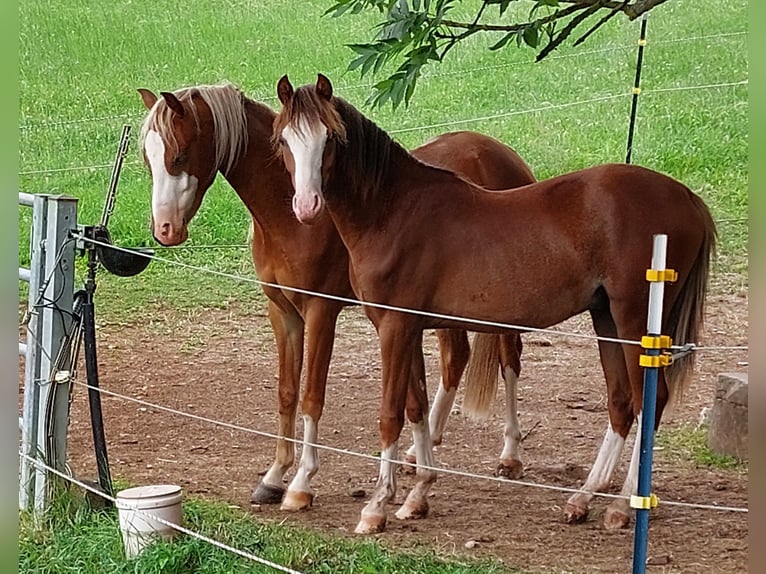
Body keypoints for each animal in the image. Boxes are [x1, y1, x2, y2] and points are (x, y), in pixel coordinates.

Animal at [136, 83, 537, 512]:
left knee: (509, 360)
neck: (290, 217)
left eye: (179, 155)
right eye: (148, 159)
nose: (164, 230)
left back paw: (510, 455)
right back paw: (421, 451)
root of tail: (500, 153)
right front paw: (273, 477)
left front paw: (301, 483)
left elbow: (312, 397)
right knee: (455, 358)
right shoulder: (282, 313)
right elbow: (287, 393)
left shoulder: (320, 311)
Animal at [273, 73, 716, 534]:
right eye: (284, 140)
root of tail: (687, 197)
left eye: (330, 138)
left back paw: (623, 507)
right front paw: (417, 495)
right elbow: (416, 407)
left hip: (634, 322)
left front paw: (376, 506)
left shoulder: (396, 327)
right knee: (621, 404)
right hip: (606, 318)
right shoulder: (405, 328)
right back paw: (582, 499)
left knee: (650, 401)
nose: (307, 206)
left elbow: (390, 414)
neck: (393, 212)